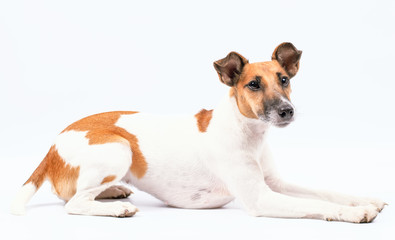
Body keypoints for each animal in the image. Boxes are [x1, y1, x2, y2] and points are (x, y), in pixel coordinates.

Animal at [10, 42, 386, 222]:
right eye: (253, 84)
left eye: (284, 79)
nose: (287, 111)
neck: (248, 132)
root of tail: (53, 144)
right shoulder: (261, 198)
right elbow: (316, 204)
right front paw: (355, 213)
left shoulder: (277, 183)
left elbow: (325, 192)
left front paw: (364, 199)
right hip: (119, 148)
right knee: (73, 202)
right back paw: (116, 208)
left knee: (73, 194)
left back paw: (113, 192)